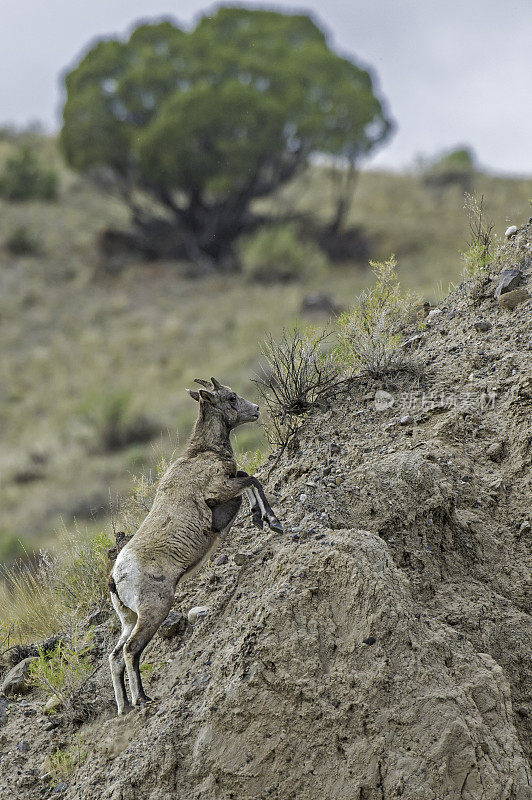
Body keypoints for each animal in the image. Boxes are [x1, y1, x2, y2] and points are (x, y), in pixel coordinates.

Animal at [108, 378, 282, 716]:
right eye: (230, 398)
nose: (255, 409)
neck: (202, 453)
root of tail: (115, 578)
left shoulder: (229, 486)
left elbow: (248, 478)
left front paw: (259, 518)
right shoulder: (220, 490)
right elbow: (253, 479)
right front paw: (271, 521)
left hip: (128, 619)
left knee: (115, 656)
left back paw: (124, 707)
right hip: (154, 610)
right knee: (131, 651)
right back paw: (143, 699)